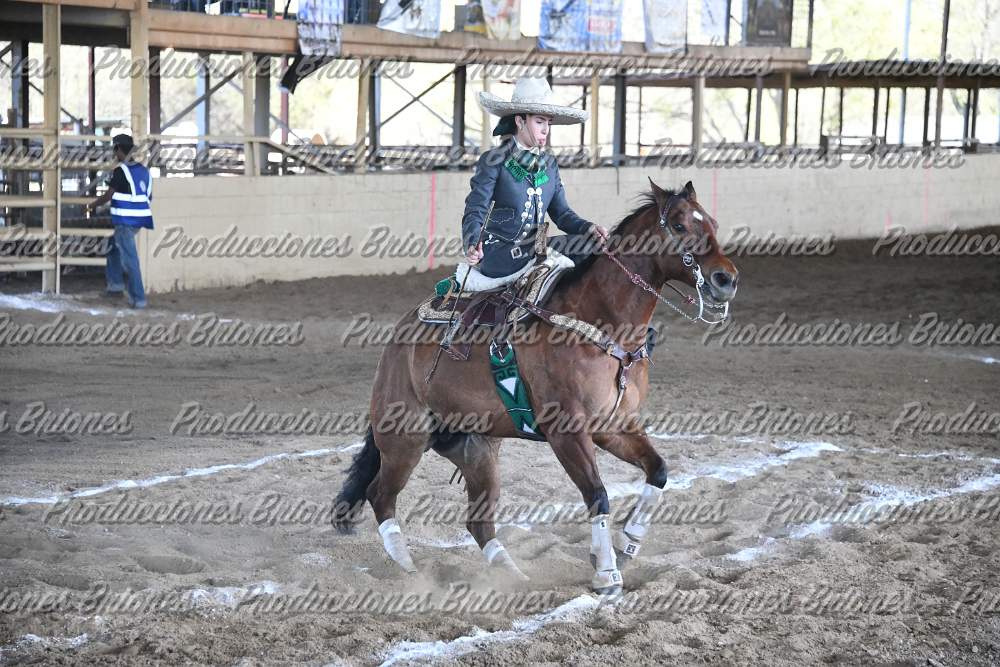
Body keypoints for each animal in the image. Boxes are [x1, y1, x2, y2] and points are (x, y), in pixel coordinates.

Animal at [333, 179, 739, 593]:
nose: (726, 279)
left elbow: (657, 470)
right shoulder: (567, 432)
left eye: (712, 223)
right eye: (678, 225)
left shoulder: (613, 427)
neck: (602, 322)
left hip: (477, 450)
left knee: (477, 522)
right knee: (380, 496)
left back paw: (512, 575)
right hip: (405, 439)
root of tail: (397, 342)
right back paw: (411, 572)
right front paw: (606, 571)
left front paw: (628, 543)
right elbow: (598, 495)